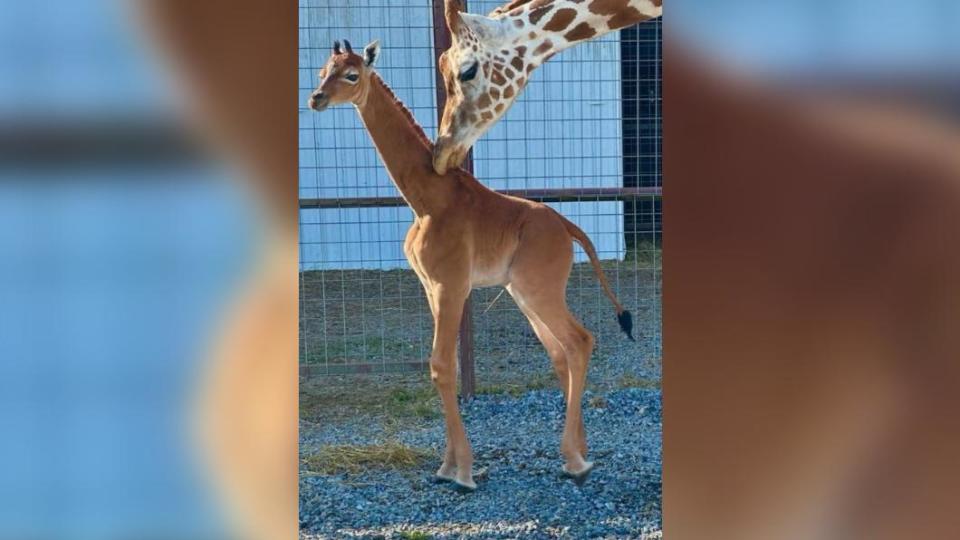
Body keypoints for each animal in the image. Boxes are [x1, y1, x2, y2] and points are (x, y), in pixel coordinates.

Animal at [312, 40, 632, 492]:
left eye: (352, 74)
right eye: (323, 70)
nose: (316, 99)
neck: (426, 199)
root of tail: (568, 228)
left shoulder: (451, 285)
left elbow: (442, 365)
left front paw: (462, 471)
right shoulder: (431, 287)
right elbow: (441, 367)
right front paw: (447, 466)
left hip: (540, 289)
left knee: (579, 341)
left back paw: (575, 460)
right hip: (523, 293)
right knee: (560, 350)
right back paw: (580, 452)